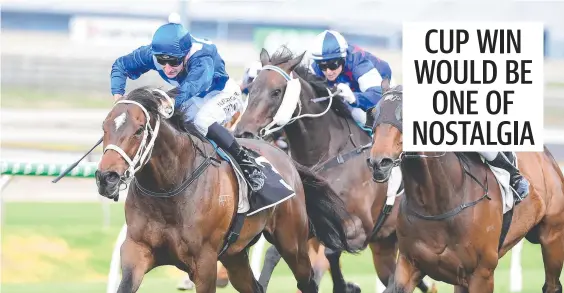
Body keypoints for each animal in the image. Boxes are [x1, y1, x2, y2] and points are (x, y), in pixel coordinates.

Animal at [93, 85, 360, 290]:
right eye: (104, 127)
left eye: (139, 130)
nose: (107, 178)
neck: (168, 190)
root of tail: (287, 159)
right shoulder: (137, 251)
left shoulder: (205, 263)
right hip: (235, 256)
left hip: (292, 242)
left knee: (306, 281)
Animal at [234, 46, 436, 292]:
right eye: (252, 88)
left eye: (276, 91)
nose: (242, 132)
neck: (328, 154)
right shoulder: (311, 222)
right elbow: (275, 253)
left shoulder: (360, 227)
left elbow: (331, 251)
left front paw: (346, 285)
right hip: (385, 246)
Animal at [366, 85, 564, 292]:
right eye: (374, 113)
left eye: (405, 114)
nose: (379, 162)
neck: (437, 204)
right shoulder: (409, 265)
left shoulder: (482, 273)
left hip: (553, 237)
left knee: (552, 285)